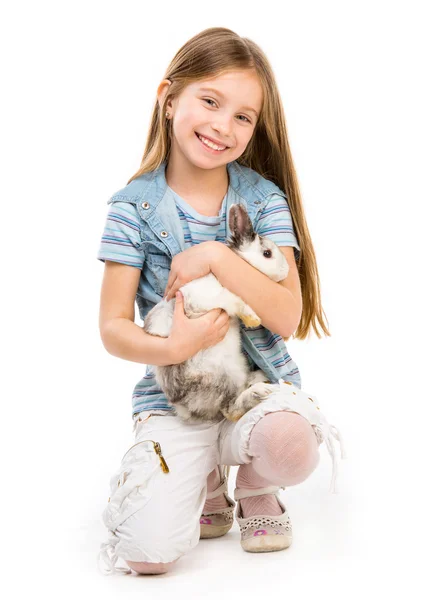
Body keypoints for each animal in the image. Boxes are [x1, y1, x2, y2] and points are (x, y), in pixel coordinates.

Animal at [144, 204, 290, 424]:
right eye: (267, 253)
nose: (286, 270)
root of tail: (183, 407)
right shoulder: (205, 298)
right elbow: (235, 299)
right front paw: (253, 319)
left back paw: (257, 378)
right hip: (225, 375)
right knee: (230, 409)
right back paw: (258, 392)